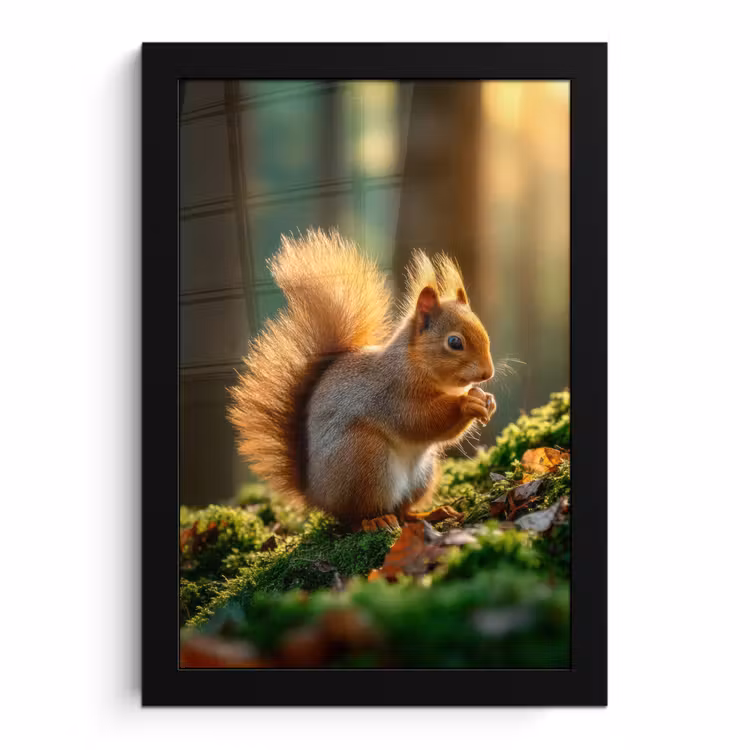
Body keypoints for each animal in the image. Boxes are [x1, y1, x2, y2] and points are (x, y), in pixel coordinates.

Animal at [228, 228, 496, 532]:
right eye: (454, 342)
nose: (488, 373)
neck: (415, 363)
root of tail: (315, 495)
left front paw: (486, 400)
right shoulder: (392, 394)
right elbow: (421, 420)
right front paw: (467, 403)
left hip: (422, 475)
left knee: (403, 510)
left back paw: (429, 514)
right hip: (364, 461)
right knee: (356, 517)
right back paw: (376, 520)